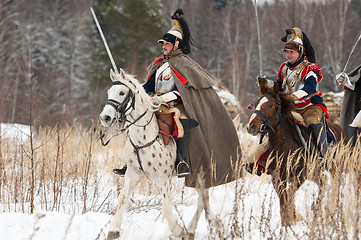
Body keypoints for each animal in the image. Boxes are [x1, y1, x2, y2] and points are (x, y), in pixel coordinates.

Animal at [99, 68, 217, 239]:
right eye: (109, 92)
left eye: (122, 92)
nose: (105, 117)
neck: (143, 140)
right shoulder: (132, 174)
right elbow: (123, 199)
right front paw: (114, 230)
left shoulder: (164, 180)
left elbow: (166, 208)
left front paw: (178, 230)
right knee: (204, 200)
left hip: (200, 175)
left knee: (202, 199)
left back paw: (191, 229)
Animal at [246, 77, 344, 227]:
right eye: (256, 104)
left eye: (270, 105)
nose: (251, 126)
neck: (284, 144)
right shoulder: (277, 177)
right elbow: (283, 197)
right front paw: (287, 221)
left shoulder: (300, 175)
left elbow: (290, 194)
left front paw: (292, 218)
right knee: (324, 182)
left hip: (330, 168)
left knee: (331, 184)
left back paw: (326, 211)